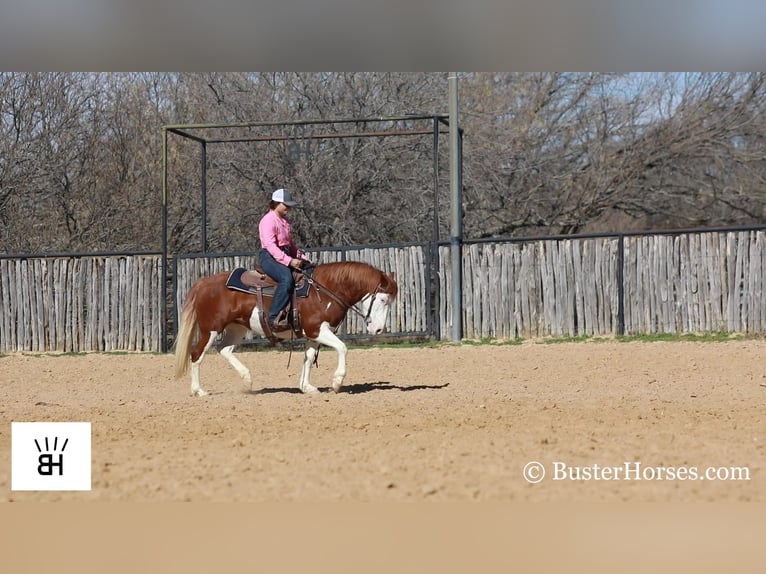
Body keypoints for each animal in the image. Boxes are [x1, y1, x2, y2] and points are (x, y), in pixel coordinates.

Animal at [172, 260, 400, 396]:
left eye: (390, 301)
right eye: (381, 299)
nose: (378, 330)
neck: (324, 290)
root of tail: (204, 283)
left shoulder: (312, 335)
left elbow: (308, 358)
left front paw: (307, 387)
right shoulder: (317, 330)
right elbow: (342, 348)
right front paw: (336, 382)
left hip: (237, 328)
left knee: (224, 349)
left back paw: (247, 380)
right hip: (210, 329)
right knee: (196, 354)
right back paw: (199, 390)